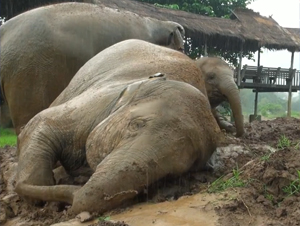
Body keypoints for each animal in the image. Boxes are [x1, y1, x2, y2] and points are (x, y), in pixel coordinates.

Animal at [15, 39, 224, 215]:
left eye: (178, 169)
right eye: (136, 125)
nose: (67, 206)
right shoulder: (98, 100)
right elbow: (41, 121)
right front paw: (37, 201)